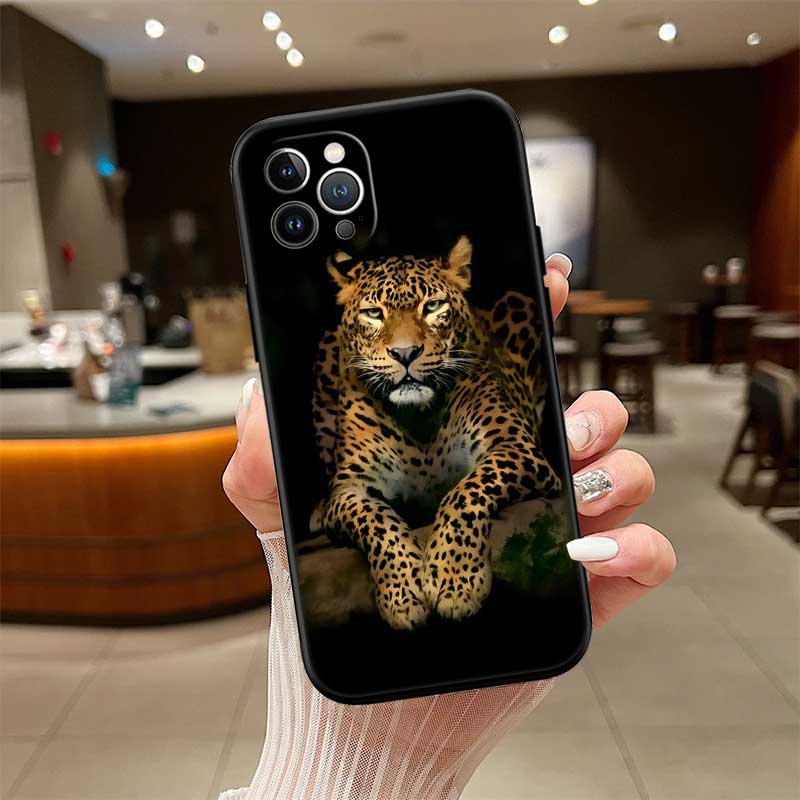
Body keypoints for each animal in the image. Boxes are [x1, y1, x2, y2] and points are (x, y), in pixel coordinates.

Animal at [310, 235, 561, 630]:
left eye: (433, 306)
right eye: (374, 313)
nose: (405, 353)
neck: (419, 419)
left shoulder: (515, 448)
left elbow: (465, 492)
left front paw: (454, 580)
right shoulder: (350, 488)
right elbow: (377, 521)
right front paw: (402, 592)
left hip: (519, 302)